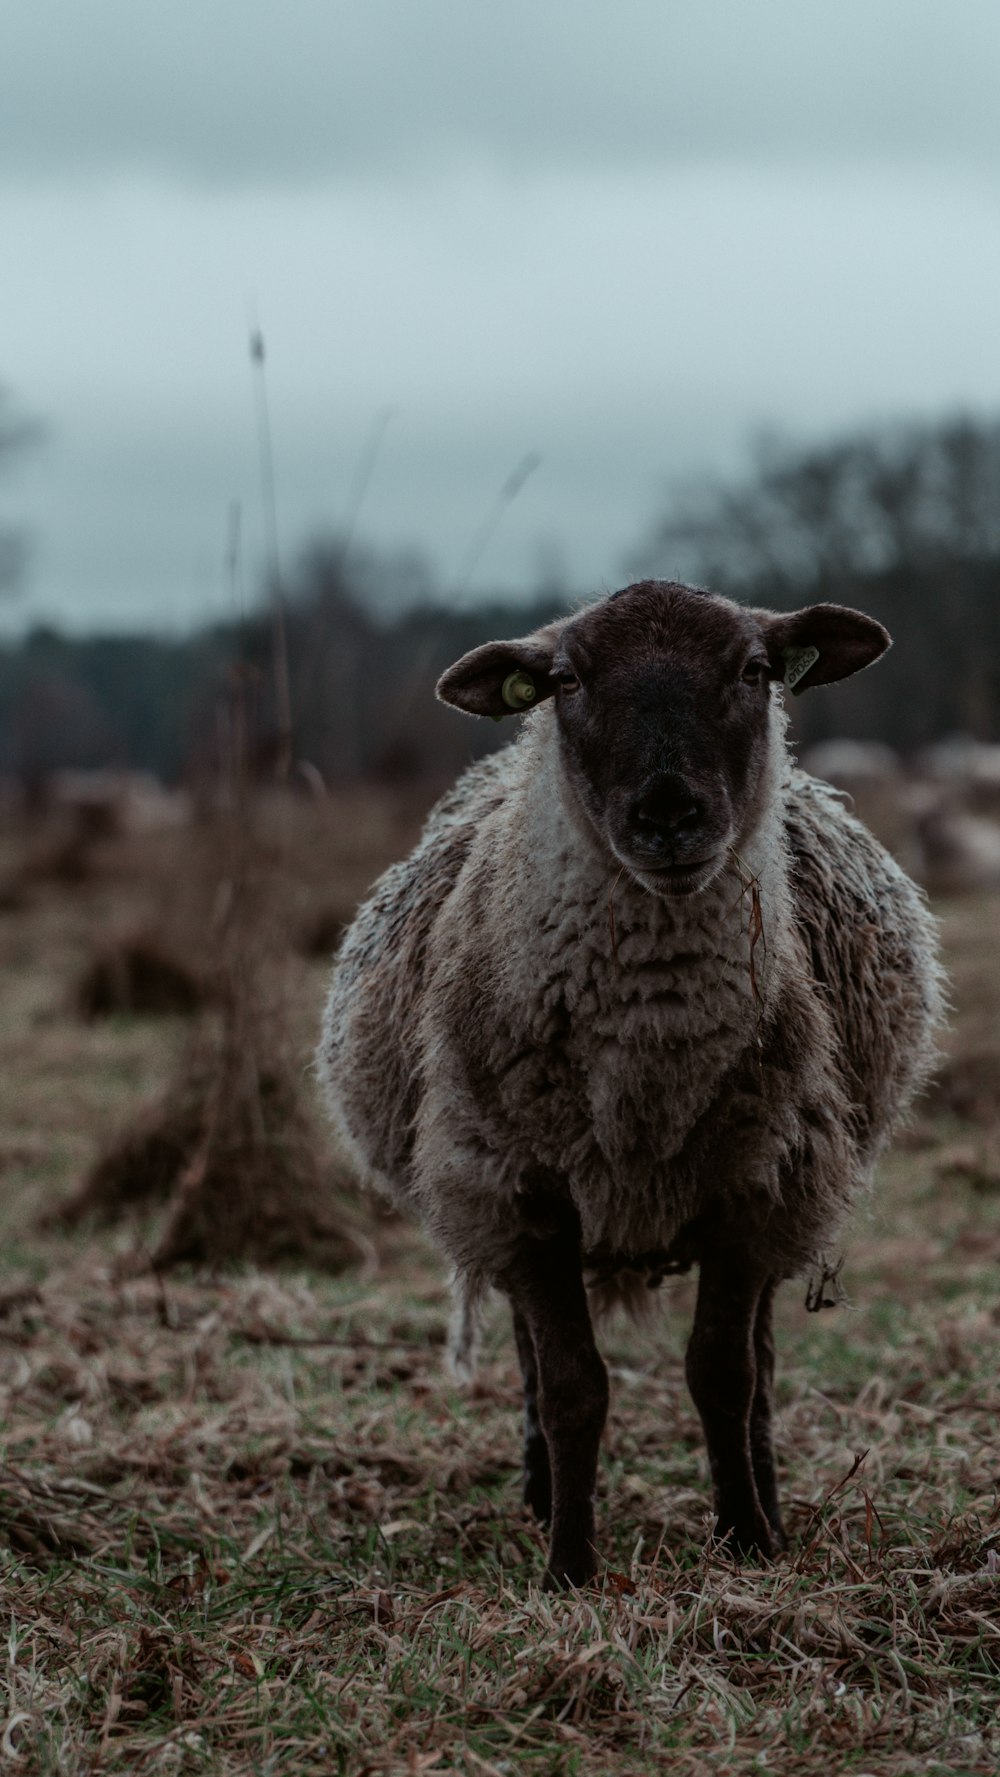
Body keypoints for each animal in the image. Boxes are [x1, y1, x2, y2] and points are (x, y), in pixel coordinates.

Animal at [316, 579, 944, 1585]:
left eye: (755, 669)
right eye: (566, 680)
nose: (668, 816)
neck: (652, 1051)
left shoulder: (755, 1185)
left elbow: (724, 1373)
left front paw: (747, 1539)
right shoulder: (520, 1191)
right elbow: (573, 1385)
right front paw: (570, 1566)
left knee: (760, 1358)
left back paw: (767, 1497)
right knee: (533, 1356)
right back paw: (541, 1494)